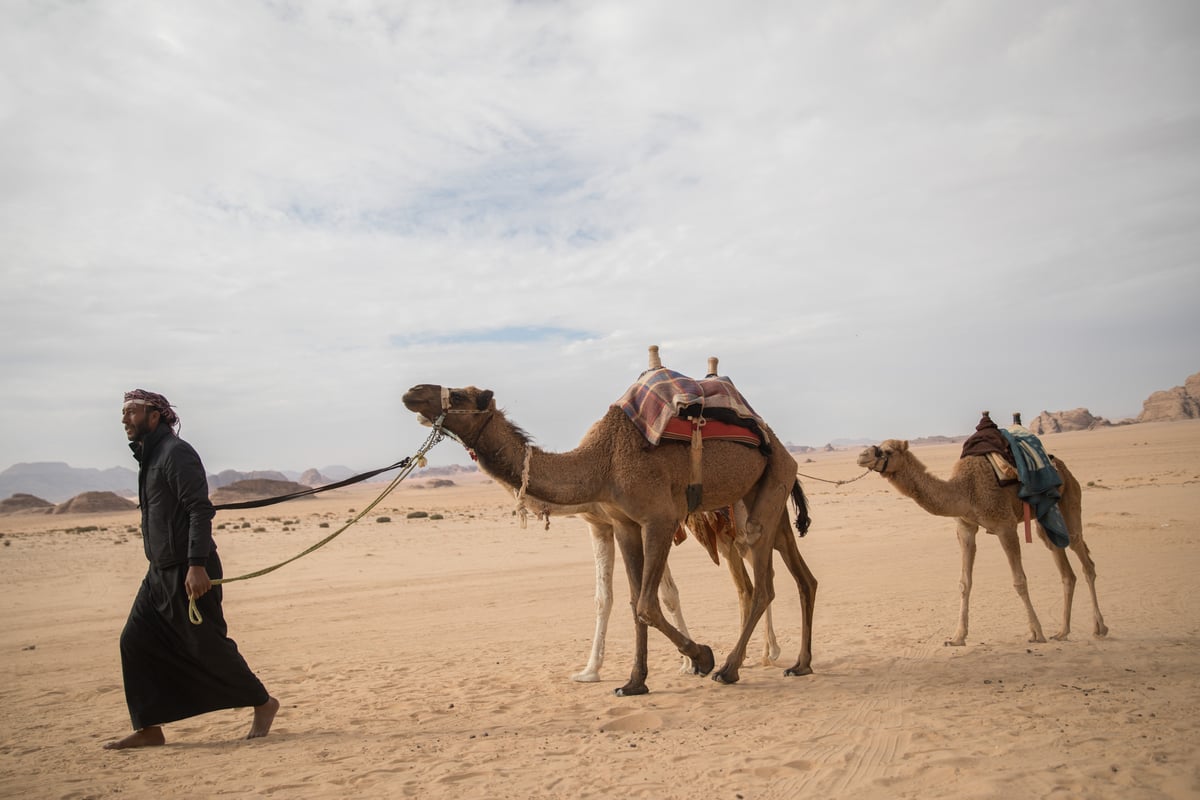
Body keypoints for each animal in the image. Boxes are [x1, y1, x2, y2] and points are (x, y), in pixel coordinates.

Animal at [403, 381, 816, 695]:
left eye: (459, 395)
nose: (412, 392)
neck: (600, 463)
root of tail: (777, 444)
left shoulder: (659, 519)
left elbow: (649, 602)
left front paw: (700, 657)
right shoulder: (623, 524)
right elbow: (634, 603)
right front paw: (633, 682)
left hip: (762, 500)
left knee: (762, 585)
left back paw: (731, 668)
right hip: (766, 497)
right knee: (801, 578)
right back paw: (799, 664)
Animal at [854, 434, 1104, 647]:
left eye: (887, 451)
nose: (861, 456)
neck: (966, 489)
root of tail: (1062, 467)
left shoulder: (1005, 525)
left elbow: (1019, 581)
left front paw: (1036, 633)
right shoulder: (965, 527)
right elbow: (965, 582)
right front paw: (957, 637)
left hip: (1069, 499)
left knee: (1084, 557)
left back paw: (1099, 628)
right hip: (1045, 520)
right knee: (1065, 569)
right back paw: (1062, 632)